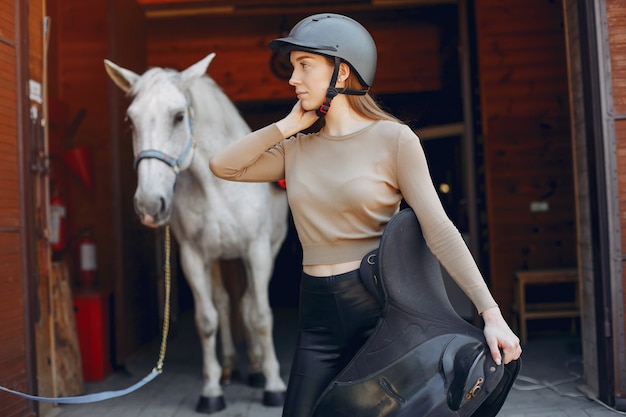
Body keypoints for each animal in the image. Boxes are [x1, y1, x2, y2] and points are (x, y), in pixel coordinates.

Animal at [103, 52, 288, 412]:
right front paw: (212, 390)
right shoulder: (193, 258)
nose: (149, 204)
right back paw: (230, 366)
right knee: (226, 304)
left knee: (248, 305)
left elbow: (261, 315)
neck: (217, 185)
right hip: (217, 260)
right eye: (131, 121)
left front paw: (274, 384)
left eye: (178, 116)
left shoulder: (257, 251)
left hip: (264, 252)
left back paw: (256, 369)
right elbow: (207, 320)